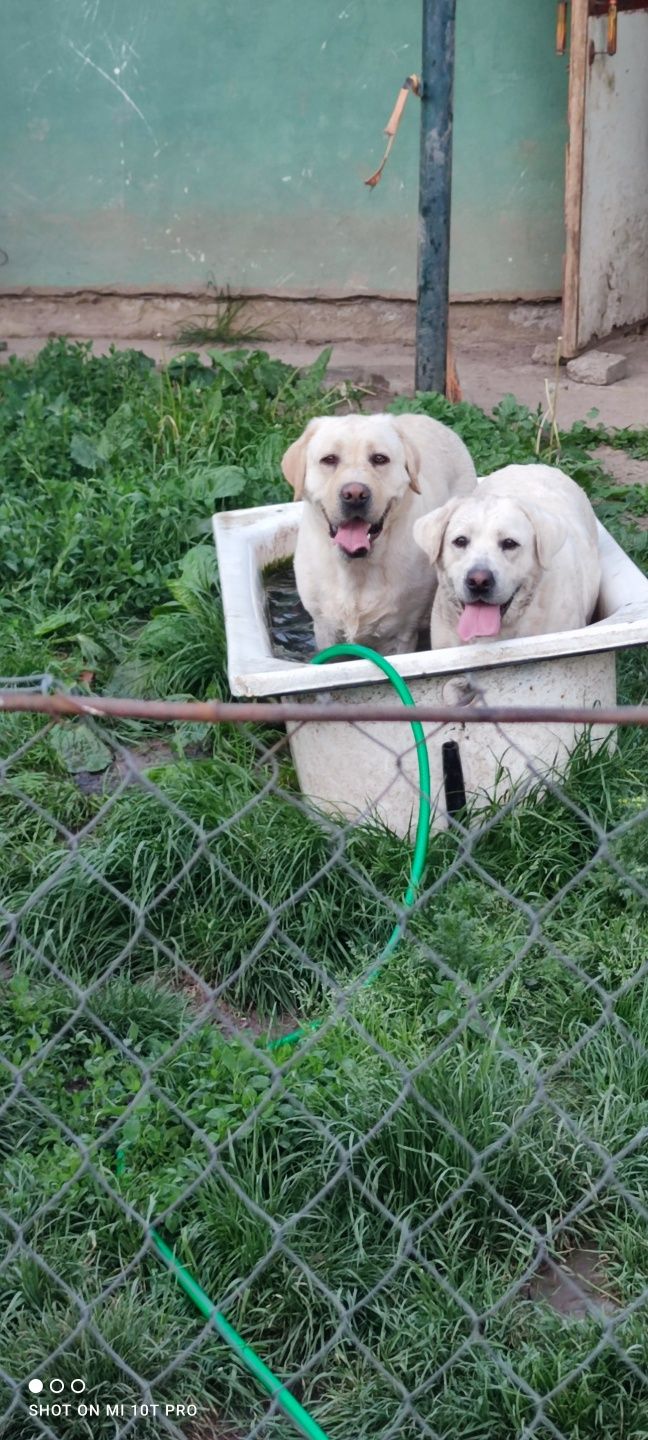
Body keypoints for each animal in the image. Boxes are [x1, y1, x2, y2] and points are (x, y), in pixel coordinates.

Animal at [279, 408, 475, 650]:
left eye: (380, 459)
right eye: (329, 459)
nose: (354, 494)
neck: (356, 567)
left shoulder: (402, 635)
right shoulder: (325, 630)